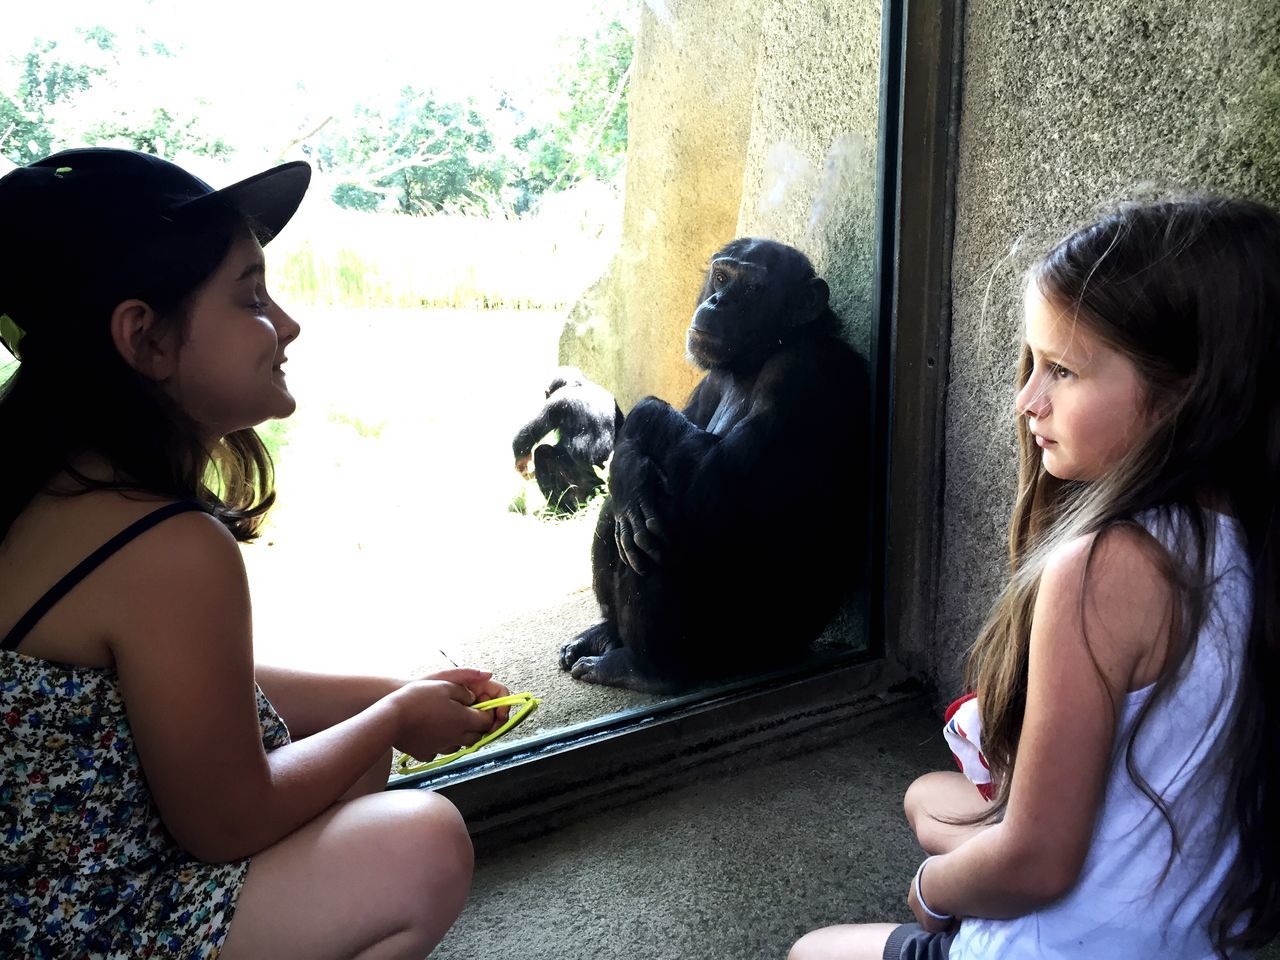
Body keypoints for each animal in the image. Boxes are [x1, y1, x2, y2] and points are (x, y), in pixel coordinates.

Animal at [512, 368, 627, 514]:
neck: (579, 384)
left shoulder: (557, 401)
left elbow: (527, 435)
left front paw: (522, 464)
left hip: (584, 489)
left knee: (542, 453)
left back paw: (562, 509)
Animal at [560, 238, 870, 696]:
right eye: (722, 277)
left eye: (753, 288)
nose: (718, 301)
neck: (757, 358)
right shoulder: (709, 383)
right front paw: (628, 460)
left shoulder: (799, 374)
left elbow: (721, 483)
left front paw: (642, 416)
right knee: (622, 507)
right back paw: (604, 636)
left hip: (737, 642)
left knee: (663, 510)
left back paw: (644, 669)